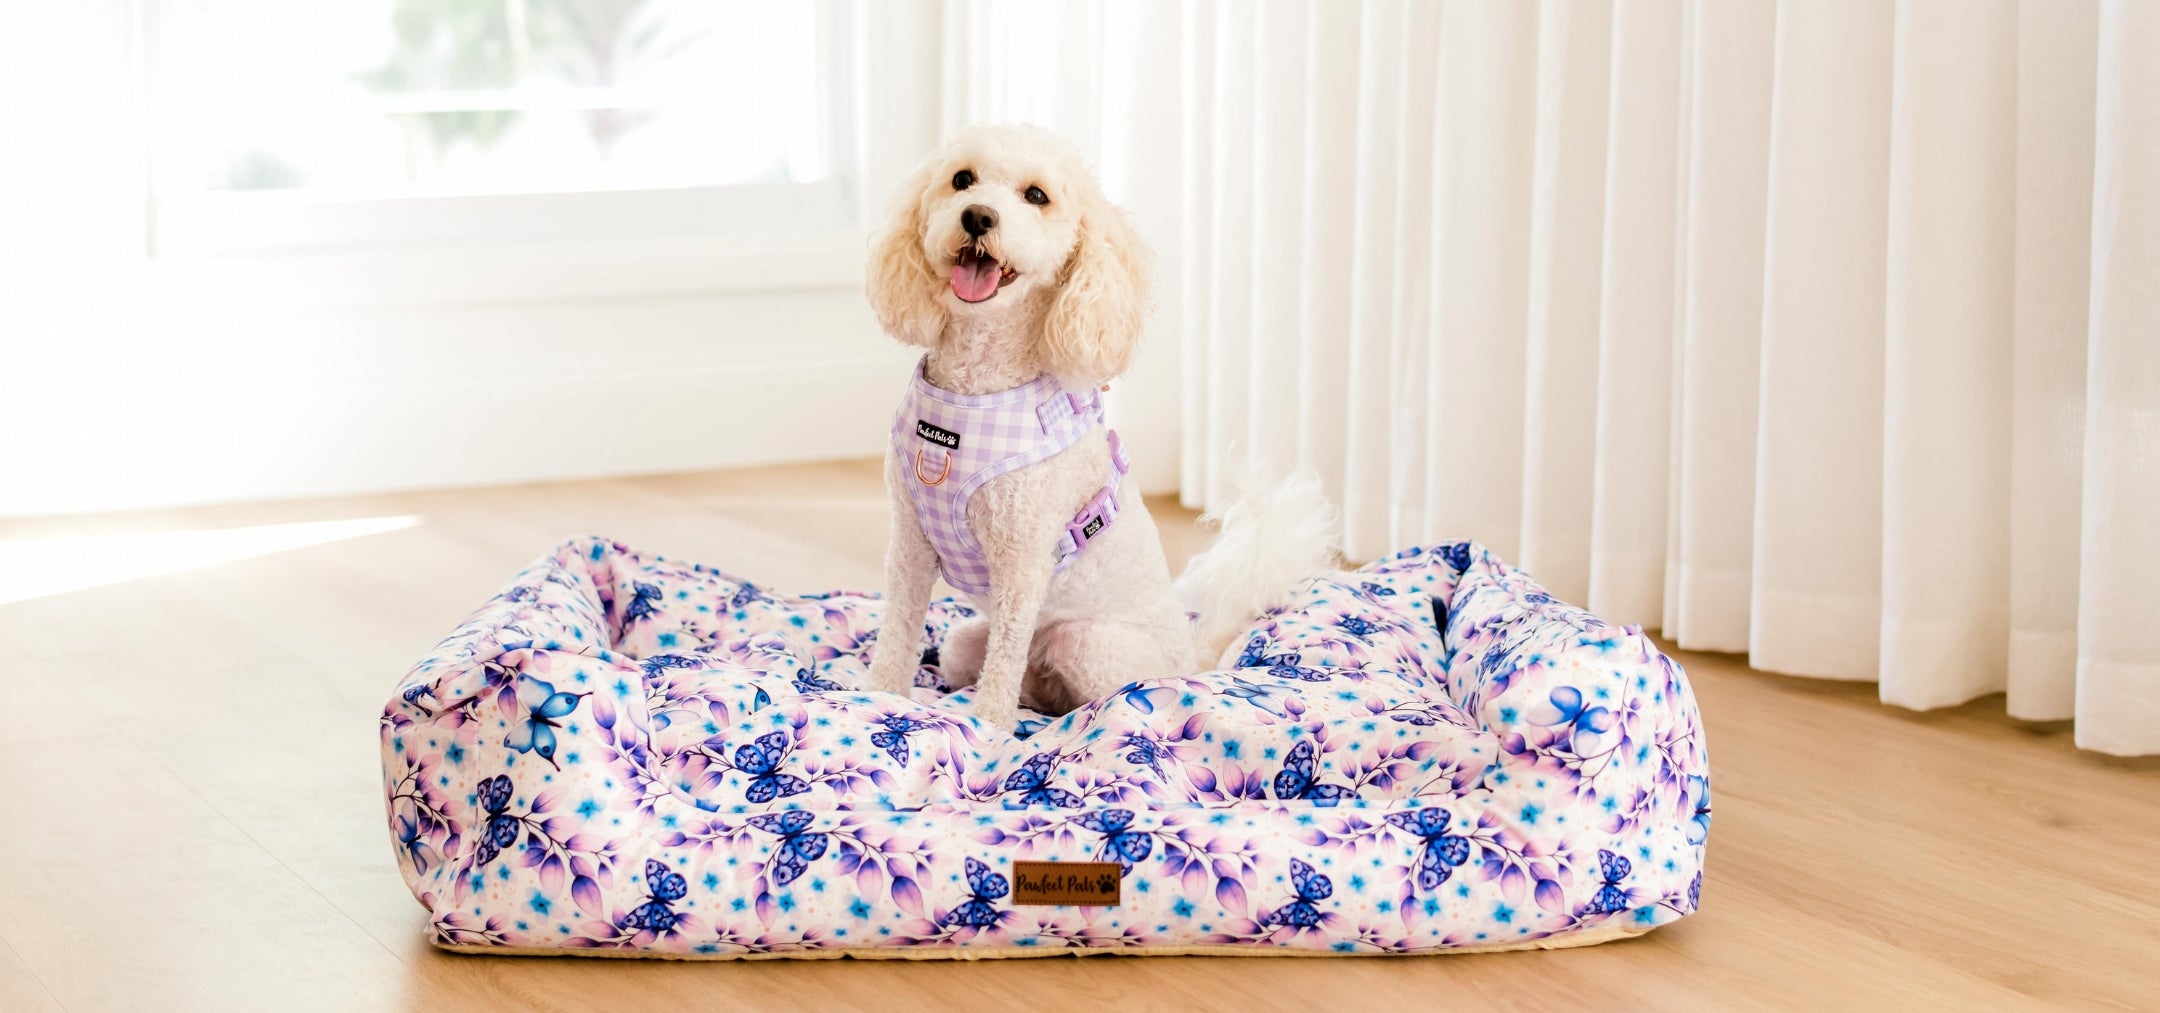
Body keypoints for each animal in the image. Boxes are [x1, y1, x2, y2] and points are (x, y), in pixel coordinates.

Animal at [859, 124, 1330, 725]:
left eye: (1037, 196)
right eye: (961, 180)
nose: (978, 216)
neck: (976, 386)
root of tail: (1195, 661)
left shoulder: (1022, 560)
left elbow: (1003, 663)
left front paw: (987, 729)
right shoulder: (910, 543)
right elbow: (897, 632)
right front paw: (881, 697)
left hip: (1085, 641)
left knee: (1098, 699)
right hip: (965, 643)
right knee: (1008, 676)